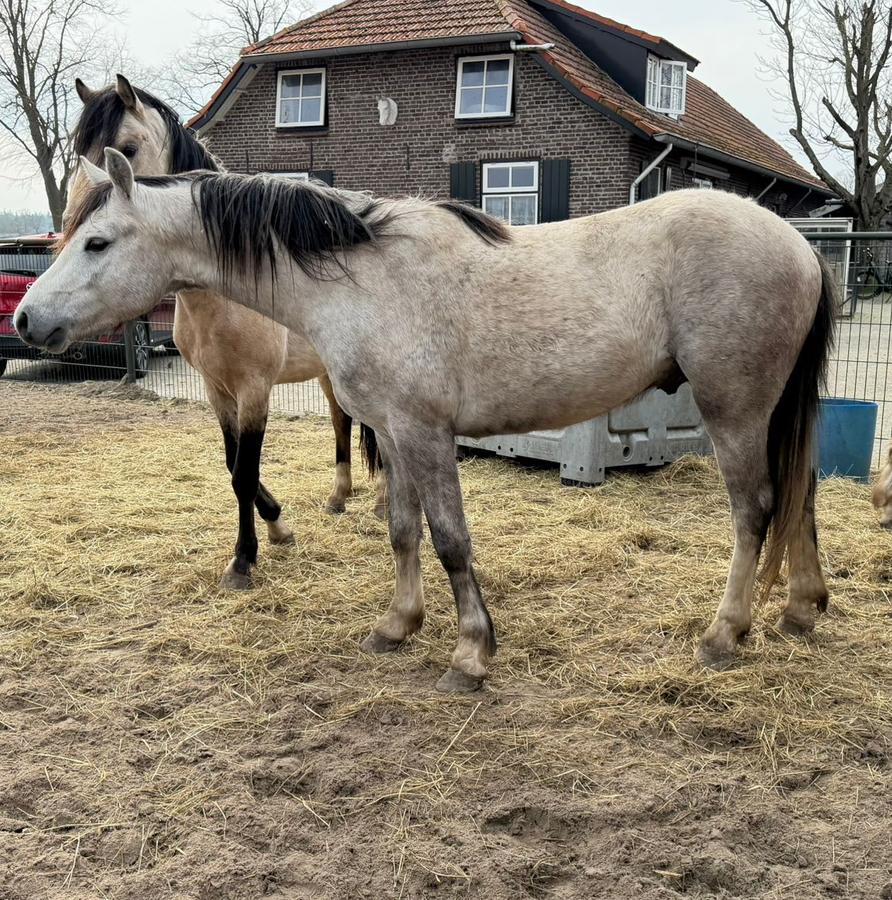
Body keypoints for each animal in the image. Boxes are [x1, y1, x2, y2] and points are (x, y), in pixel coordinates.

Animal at [18, 149, 837, 692]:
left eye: (97, 241)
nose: (27, 319)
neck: (364, 277)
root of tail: (800, 246)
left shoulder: (423, 433)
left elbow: (449, 541)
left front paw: (471, 653)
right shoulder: (392, 430)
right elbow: (402, 531)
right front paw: (398, 625)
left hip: (734, 409)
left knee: (755, 510)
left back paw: (725, 634)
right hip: (773, 413)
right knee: (801, 497)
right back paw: (802, 611)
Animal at [66, 75, 386, 591]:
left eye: (126, 150)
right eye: (78, 152)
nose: (73, 226)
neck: (220, 296)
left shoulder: (254, 389)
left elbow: (243, 473)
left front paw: (245, 558)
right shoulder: (216, 389)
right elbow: (233, 464)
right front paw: (278, 526)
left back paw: (380, 503)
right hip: (326, 372)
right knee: (342, 421)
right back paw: (339, 496)